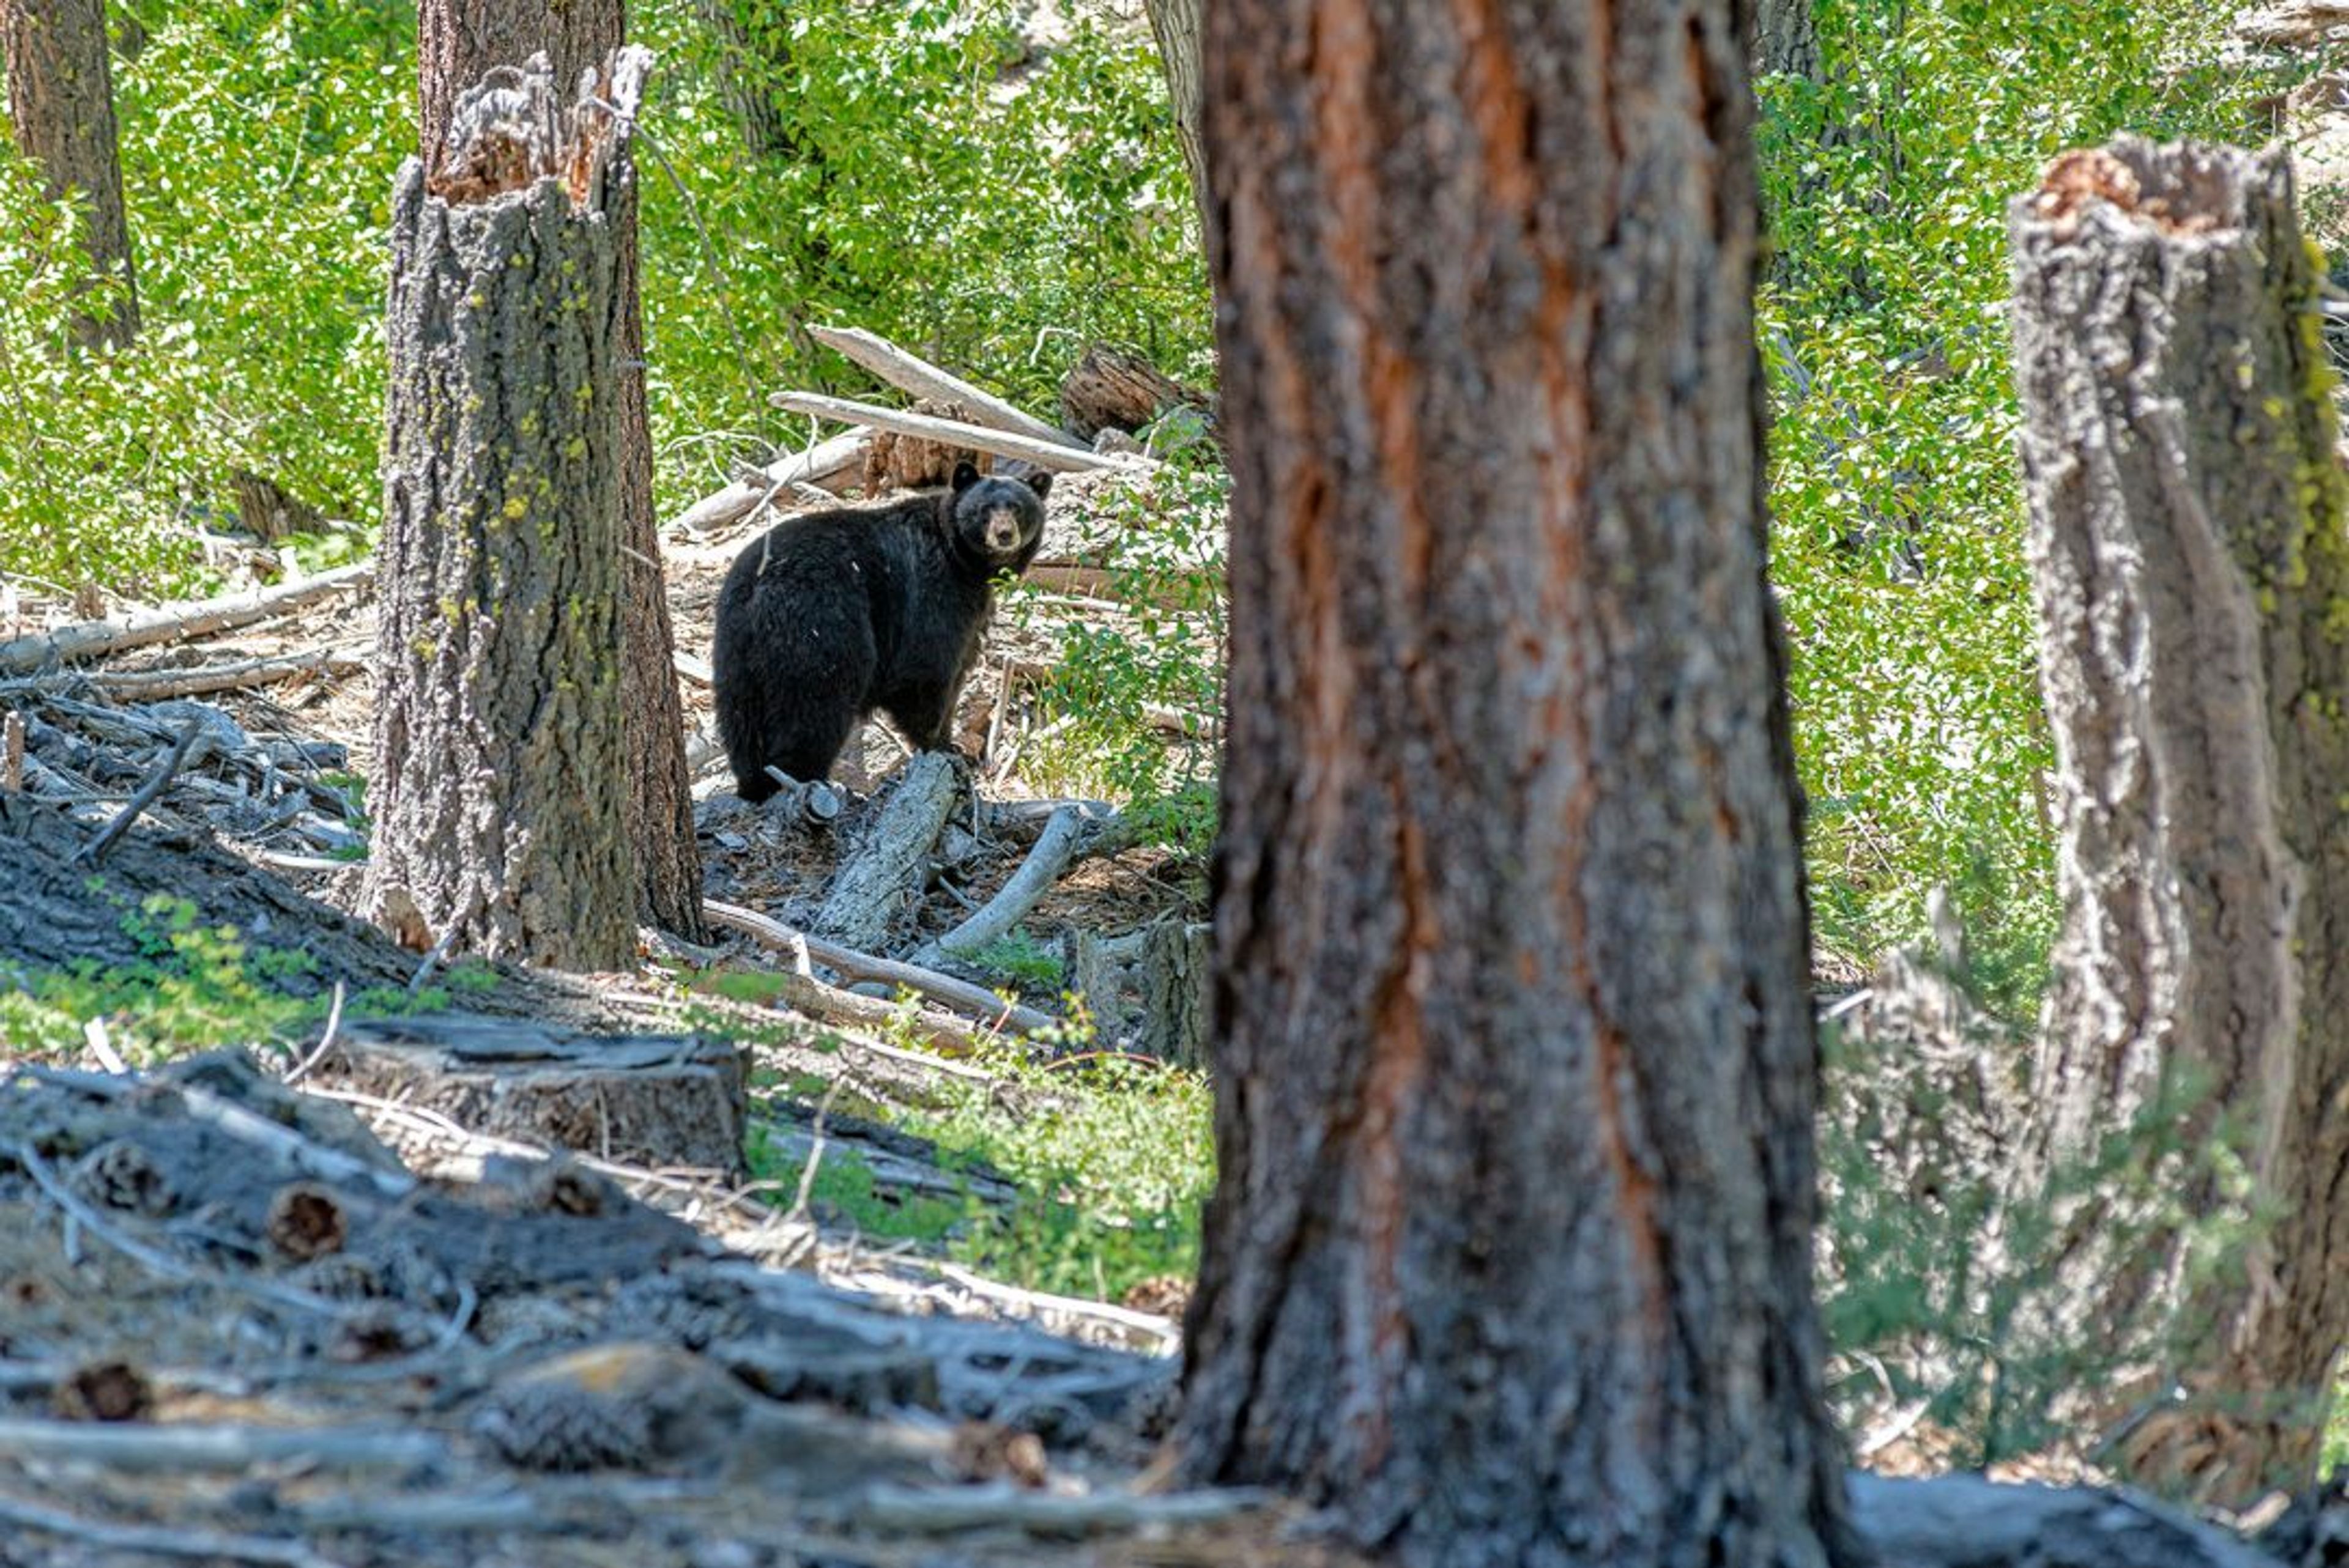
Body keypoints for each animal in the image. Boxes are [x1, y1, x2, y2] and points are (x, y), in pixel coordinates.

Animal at [709, 453, 1052, 798]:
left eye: (1018, 508)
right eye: (984, 509)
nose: (1005, 534)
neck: (964, 561)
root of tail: (761, 586)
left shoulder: (971, 615)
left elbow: (959, 670)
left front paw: (953, 746)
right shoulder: (932, 589)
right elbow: (925, 670)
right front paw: (941, 748)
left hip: (737, 649)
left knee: (741, 717)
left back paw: (755, 782)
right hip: (821, 624)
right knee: (815, 704)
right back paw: (804, 778)